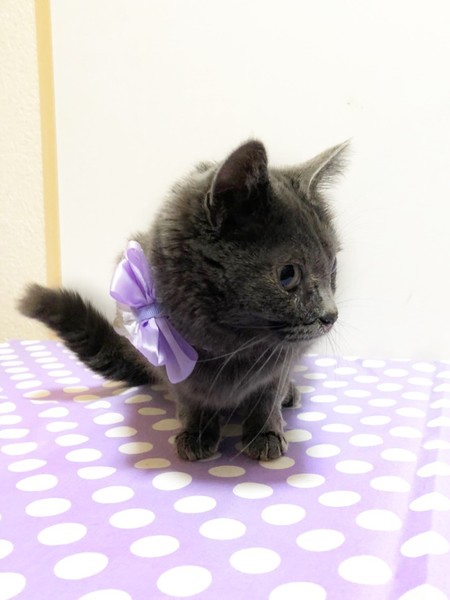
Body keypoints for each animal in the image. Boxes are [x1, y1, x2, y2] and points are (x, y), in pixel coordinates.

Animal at [19, 139, 348, 461]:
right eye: (288, 275)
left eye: (333, 267)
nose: (331, 315)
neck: (230, 346)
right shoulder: (172, 368)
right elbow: (189, 397)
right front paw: (197, 432)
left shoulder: (284, 359)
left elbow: (268, 393)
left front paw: (264, 433)